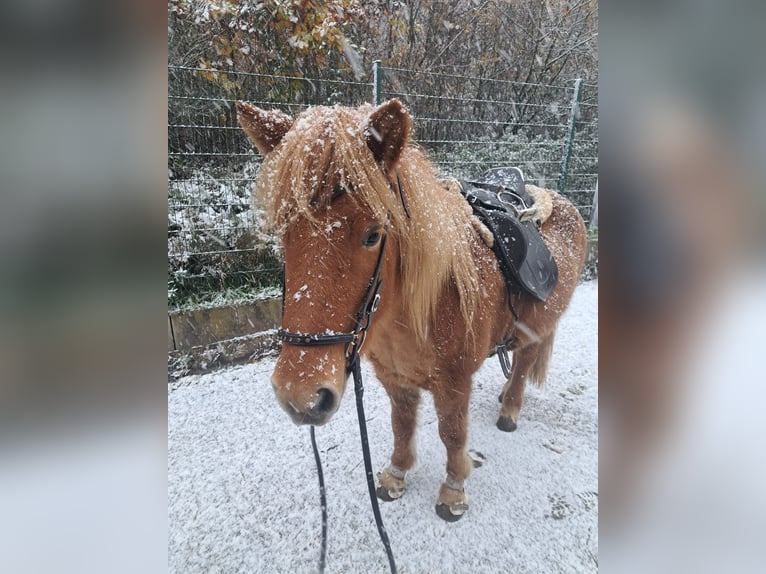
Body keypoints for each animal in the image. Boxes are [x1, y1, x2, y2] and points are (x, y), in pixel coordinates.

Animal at [236, 98, 587, 521]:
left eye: (373, 235)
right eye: (284, 230)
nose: (300, 395)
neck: (419, 308)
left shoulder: (455, 382)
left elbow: (452, 432)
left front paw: (453, 490)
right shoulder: (394, 376)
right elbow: (401, 424)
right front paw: (396, 475)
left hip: (539, 326)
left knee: (523, 362)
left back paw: (510, 410)